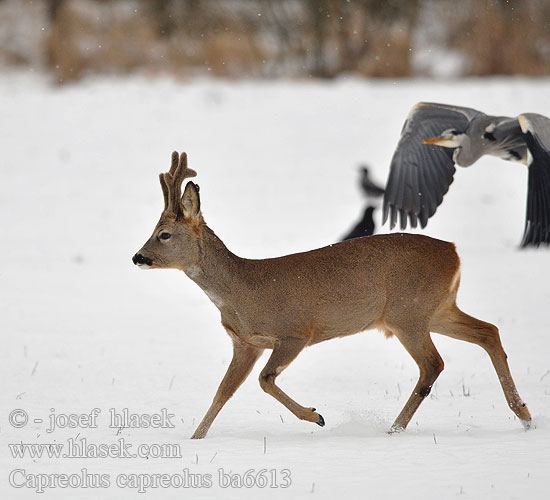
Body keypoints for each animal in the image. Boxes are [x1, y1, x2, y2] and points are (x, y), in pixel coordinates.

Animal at [132, 151, 532, 438]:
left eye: (164, 234)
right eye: (154, 231)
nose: (138, 257)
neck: (242, 290)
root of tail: (454, 253)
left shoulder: (295, 332)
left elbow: (265, 380)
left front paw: (316, 416)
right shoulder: (244, 343)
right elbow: (222, 392)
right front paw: (195, 439)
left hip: (408, 312)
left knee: (433, 363)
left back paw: (394, 428)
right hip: (436, 309)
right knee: (488, 331)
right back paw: (524, 414)